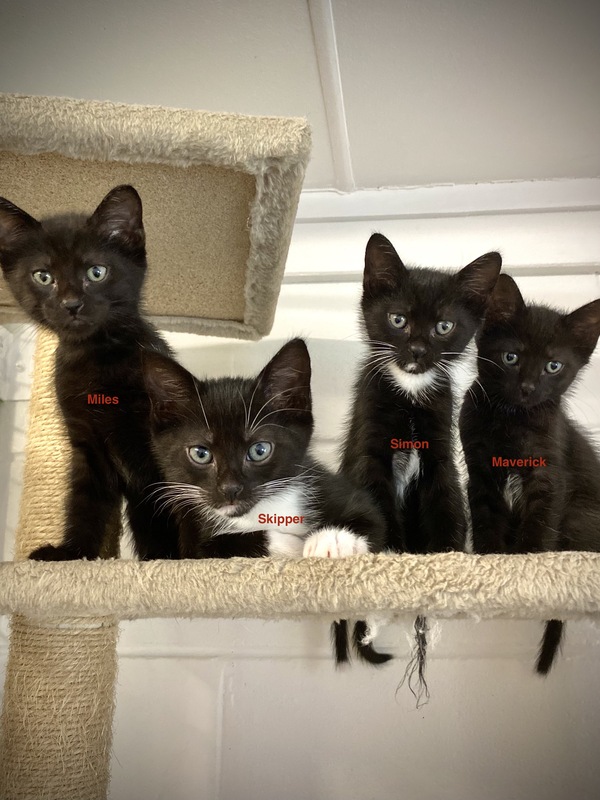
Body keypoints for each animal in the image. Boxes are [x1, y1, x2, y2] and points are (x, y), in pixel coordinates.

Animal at [0, 185, 181, 560]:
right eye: (44, 277)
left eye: (96, 272)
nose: (71, 304)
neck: (95, 358)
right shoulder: (87, 446)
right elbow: (84, 504)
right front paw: (71, 554)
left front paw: (177, 561)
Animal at [338, 233, 502, 666]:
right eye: (398, 320)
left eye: (444, 326)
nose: (416, 350)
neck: (410, 391)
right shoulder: (370, 446)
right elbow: (377, 497)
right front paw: (393, 557)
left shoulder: (440, 446)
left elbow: (445, 498)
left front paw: (444, 561)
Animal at [460, 273, 600, 673]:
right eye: (512, 357)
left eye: (553, 366)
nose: (527, 387)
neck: (512, 418)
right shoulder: (480, 472)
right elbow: (486, 515)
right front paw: (491, 559)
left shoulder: (548, 472)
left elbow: (540, 517)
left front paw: (530, 565)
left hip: (580, 514)